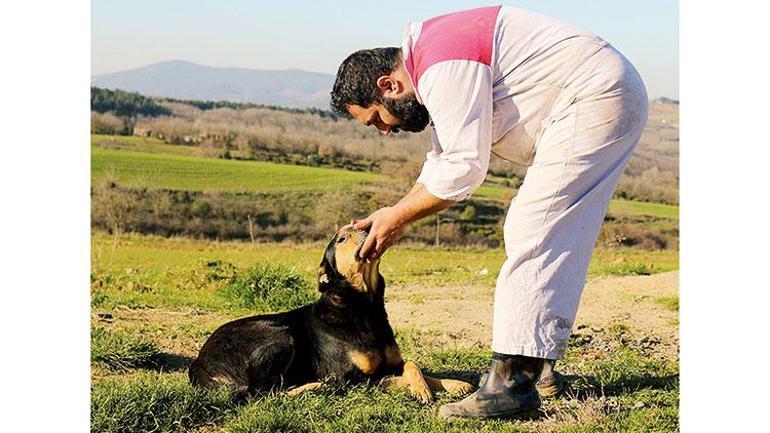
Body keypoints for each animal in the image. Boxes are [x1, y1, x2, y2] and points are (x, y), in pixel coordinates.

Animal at [189, 226, 472, 402]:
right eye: (341, 239)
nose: (369, 225)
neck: (362, 305)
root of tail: (198, 367)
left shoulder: (393, 361)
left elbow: (413, 365)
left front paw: (452, 384)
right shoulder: (350, 376)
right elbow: (388, 379)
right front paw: (420, 391)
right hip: (280, 336)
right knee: (262, 391)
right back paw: (311, 387)